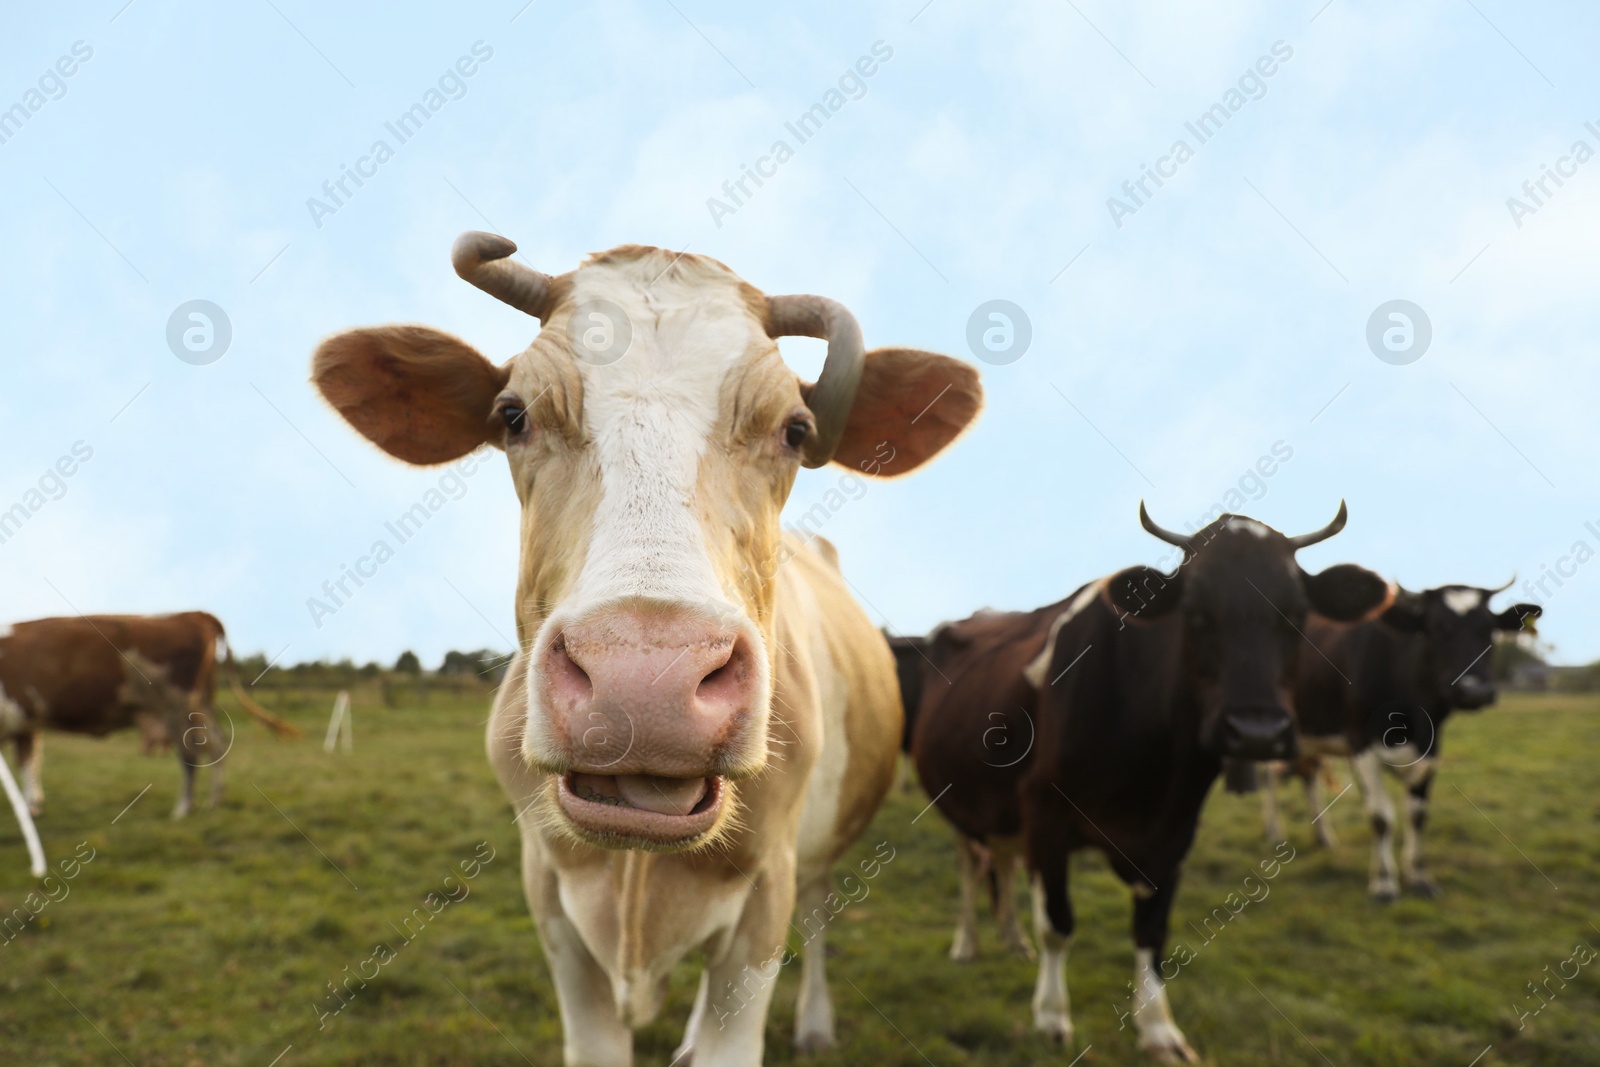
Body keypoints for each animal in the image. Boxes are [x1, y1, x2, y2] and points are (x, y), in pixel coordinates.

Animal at [0, 614, 299, 812]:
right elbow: (31, 762)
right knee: (218, 745)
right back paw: (214, 801)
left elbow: (26, 764)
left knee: (190, 756)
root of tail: (190, 615)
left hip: (178, 708)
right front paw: (33, 804)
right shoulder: (26, 722)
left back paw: (183, 809)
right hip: (201, 705)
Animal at [310, 233, 972, 1067]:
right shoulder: (552, 903)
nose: (645, 680)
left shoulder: (764, 900)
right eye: (513, 415)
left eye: (795, 430)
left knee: (822, 908)